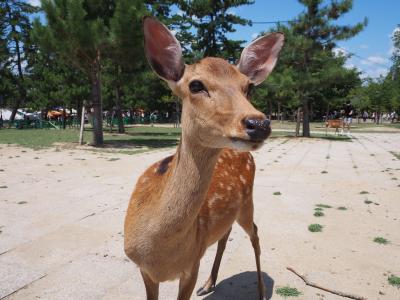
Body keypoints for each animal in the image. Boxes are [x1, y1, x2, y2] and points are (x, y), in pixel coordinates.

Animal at [123, 16, 282, 300]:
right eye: (196, 85)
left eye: (249, 87)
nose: (259, 123)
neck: (159, 253)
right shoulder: (144, 270)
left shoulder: (192, 263)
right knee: (225, 234)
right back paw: (209, 284)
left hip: (247, 202)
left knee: (255, 232)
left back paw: (261, 291)